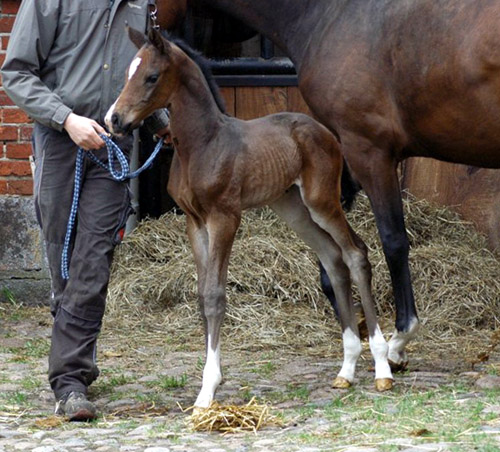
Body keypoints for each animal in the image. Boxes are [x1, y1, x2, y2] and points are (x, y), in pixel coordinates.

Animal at [105, 28, 394, 408]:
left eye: (151, 76)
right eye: (127, 73)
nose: (114, 119)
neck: (202, 144)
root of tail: (326, 132)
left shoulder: (225, 217)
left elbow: (215, 296)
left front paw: (208, 390)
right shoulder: (195, 222)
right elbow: (202, 296)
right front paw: (211, 379)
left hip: (321, 201)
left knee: (355, 254)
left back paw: (382, 367)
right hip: (293, 209)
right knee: (333, 259)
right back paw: (346, 369)